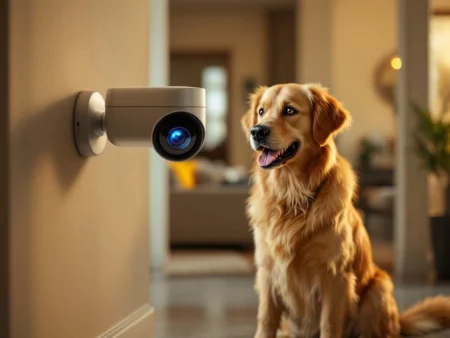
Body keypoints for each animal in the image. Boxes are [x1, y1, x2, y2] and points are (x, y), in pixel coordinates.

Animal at [243, 82, 450, 338]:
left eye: (289, 110)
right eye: (261, 111)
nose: (256, 131)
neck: (292, 196)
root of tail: (398, 322)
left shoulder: (334, 274)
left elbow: (330, 324)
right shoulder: (268, 271)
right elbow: (265, 320)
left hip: (378, 289)